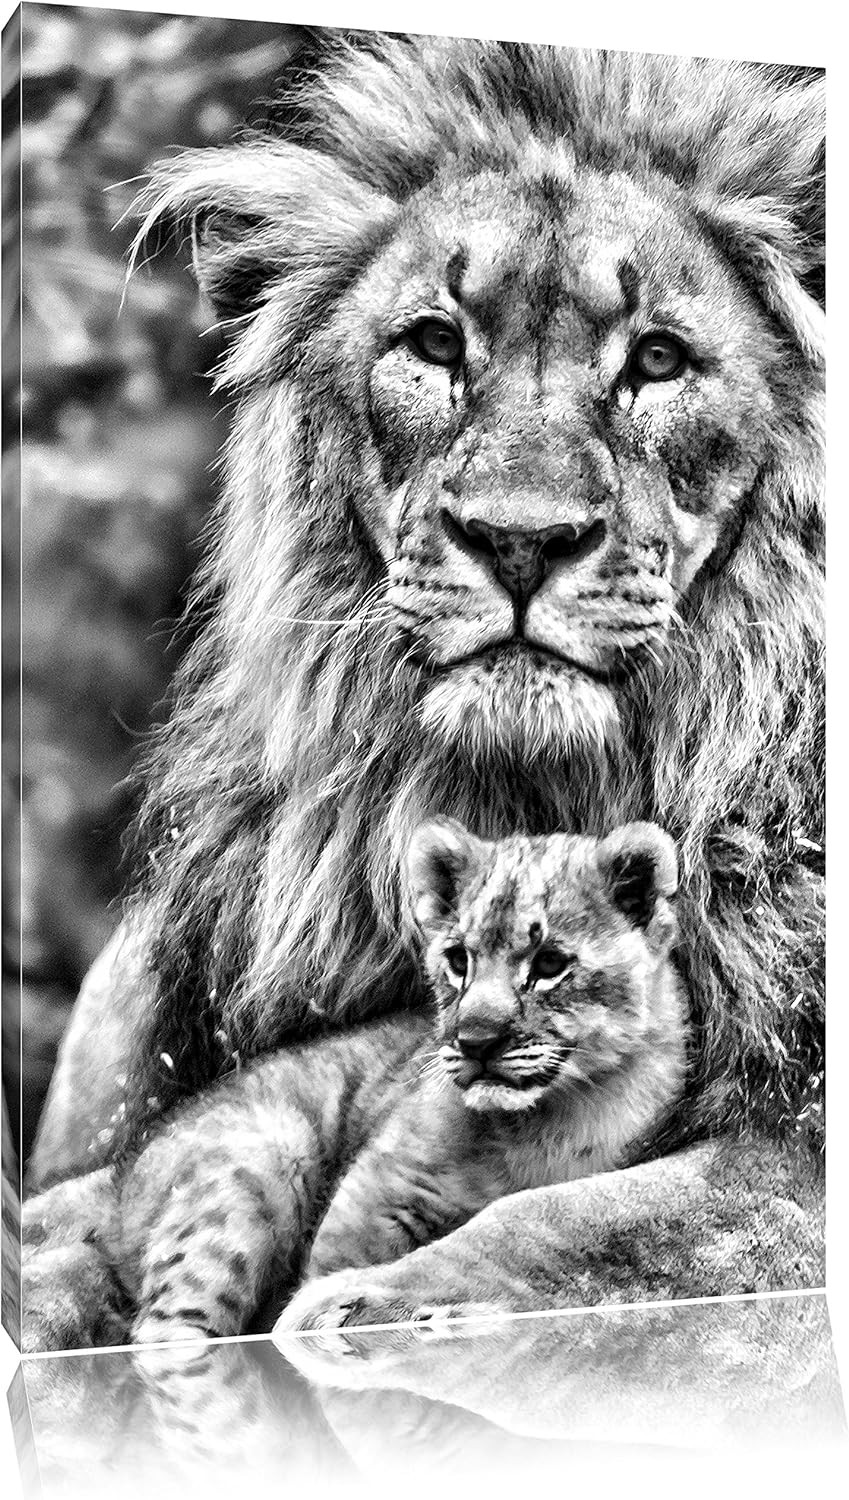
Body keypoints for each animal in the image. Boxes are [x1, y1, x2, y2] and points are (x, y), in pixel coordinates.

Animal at [23, 34, 824, 1348]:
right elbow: (71, 1226)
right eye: (437, 345)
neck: (525, 796)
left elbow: (586, 1224)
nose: (520, 539)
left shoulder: (792, 1146)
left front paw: (362, 1306)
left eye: (658, 360)